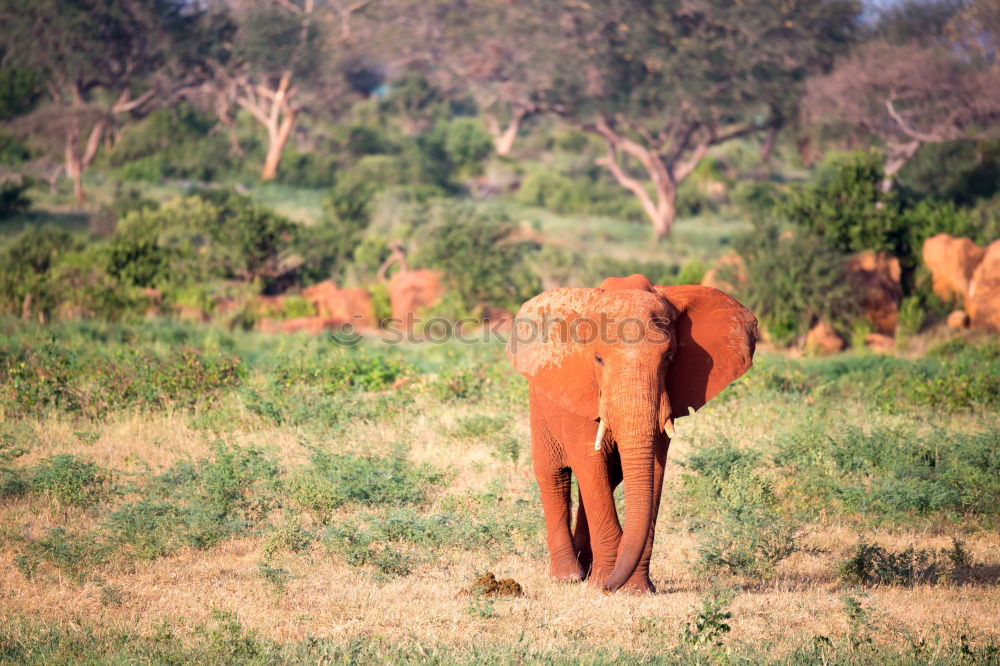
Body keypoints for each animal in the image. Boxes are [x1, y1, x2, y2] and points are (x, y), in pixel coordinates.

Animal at [504, 272, 752, 592]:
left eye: (669, 357)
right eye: (598, 359)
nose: (610, 586)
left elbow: (652, 470)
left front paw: (635, 590)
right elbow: (588, 462)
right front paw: (602, 584)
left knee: (609, 478)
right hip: (541, 404)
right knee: (553, 475)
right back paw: (569, 576)